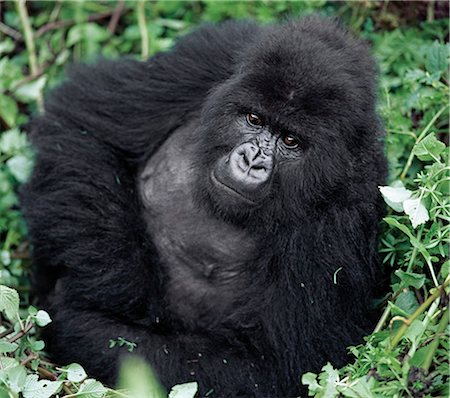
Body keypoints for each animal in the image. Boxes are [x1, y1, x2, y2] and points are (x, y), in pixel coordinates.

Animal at [21, 16, 386, 398]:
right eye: (254, 119)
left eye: (290, 140)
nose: (252, 161)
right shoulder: (209, 56)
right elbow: (84, 124)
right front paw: (120, 281)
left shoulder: (340, 221)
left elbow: (274, 368)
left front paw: (81, 317)